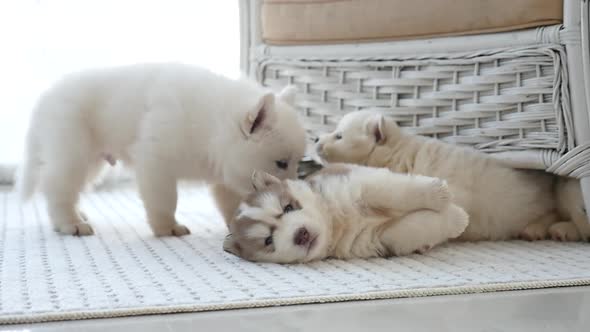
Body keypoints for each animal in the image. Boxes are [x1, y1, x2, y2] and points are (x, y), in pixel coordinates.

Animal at [16, 63, 308, 236]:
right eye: (281, 163)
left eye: (297, 164)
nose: (296, 195)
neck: (212, 124)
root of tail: (46, 98)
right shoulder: (156, 163)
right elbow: (165, 200)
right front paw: (167, 228)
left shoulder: (227, 175)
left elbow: (231, 201)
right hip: (73, 154)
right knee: (57, 189)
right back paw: (70, 223)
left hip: (91, 162)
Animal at [224, 165, 470, 264]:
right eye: (268, 240)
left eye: (288, 208)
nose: (301, 234)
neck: (335, 221)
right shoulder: (378, 237)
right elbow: (414, 227)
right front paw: (456, 218)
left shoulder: (362, 185)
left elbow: (395, 192)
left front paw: (440, 195)